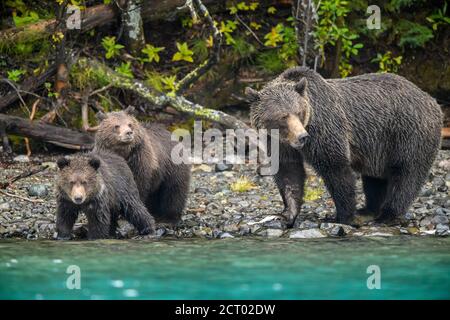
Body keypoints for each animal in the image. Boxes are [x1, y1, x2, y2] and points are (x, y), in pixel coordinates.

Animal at [244, 67, 442, 226]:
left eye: (298, 112)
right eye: (283, 116)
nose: (302, 137)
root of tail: (432, 101)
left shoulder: (325, 128)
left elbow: (335, 167)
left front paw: (342, 216)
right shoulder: (279, 143)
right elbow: (289, 172)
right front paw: (286, 214)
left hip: (408, 133)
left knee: (406, 173)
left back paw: (387, 215)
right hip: (379, 146)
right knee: (374, 177)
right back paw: (368, 209)